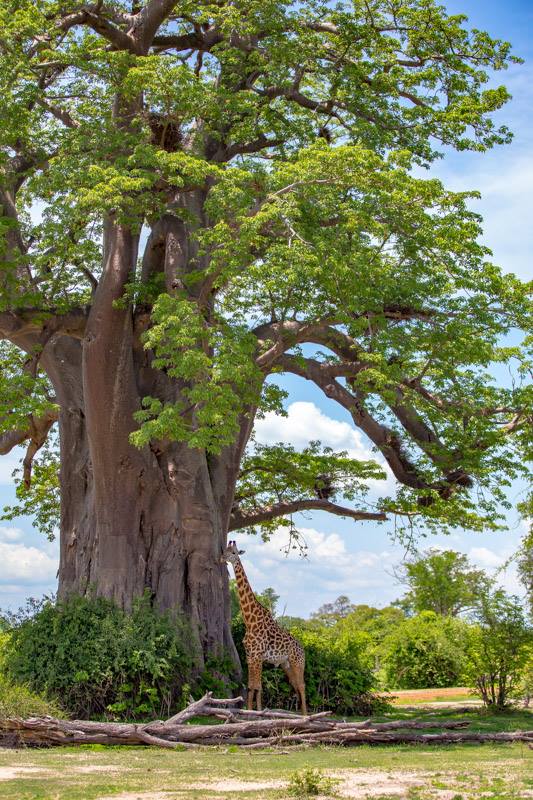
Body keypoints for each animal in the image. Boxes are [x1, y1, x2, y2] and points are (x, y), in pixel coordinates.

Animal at [221, 540, 307, 714]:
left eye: (234, 552)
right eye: (225, 550)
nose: (221, 558)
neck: (250, 621)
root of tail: (303, 649)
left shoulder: (258, 656)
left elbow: (256, 686)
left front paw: (256, 712)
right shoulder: (250, 656)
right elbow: (252, 686)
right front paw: (253, 711)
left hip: (298, 663)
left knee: (302, 686)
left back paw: (307, 716)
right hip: (286, 665)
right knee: (296, 685)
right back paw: (302, 715)